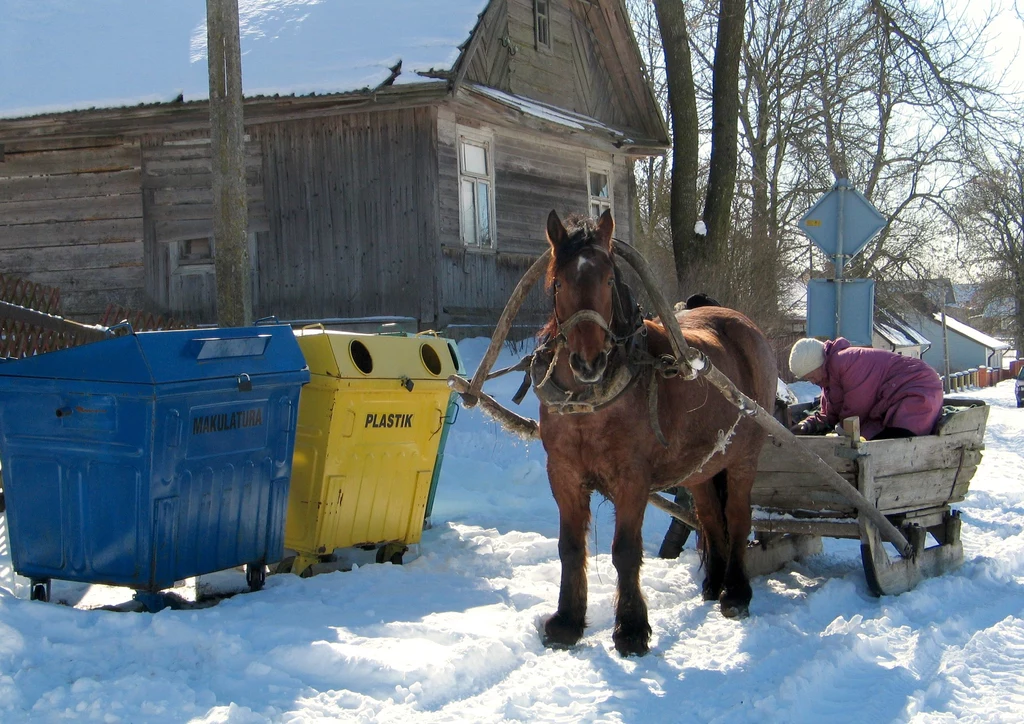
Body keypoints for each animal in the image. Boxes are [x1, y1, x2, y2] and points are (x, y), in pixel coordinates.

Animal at [540, 207, 770, 655]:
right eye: (559, 283)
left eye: (608, 280)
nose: (588, 362)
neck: (589, 401)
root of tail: (744, 324)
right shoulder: (562, 474)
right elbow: (570, 547)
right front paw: (567, 621)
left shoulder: (632, 477)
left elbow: (626, 551)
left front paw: (631, 629)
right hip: (700, 465)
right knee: (709, 515)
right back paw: (713, 583)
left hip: (745, 457)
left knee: (737, 515)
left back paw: (735, 591)